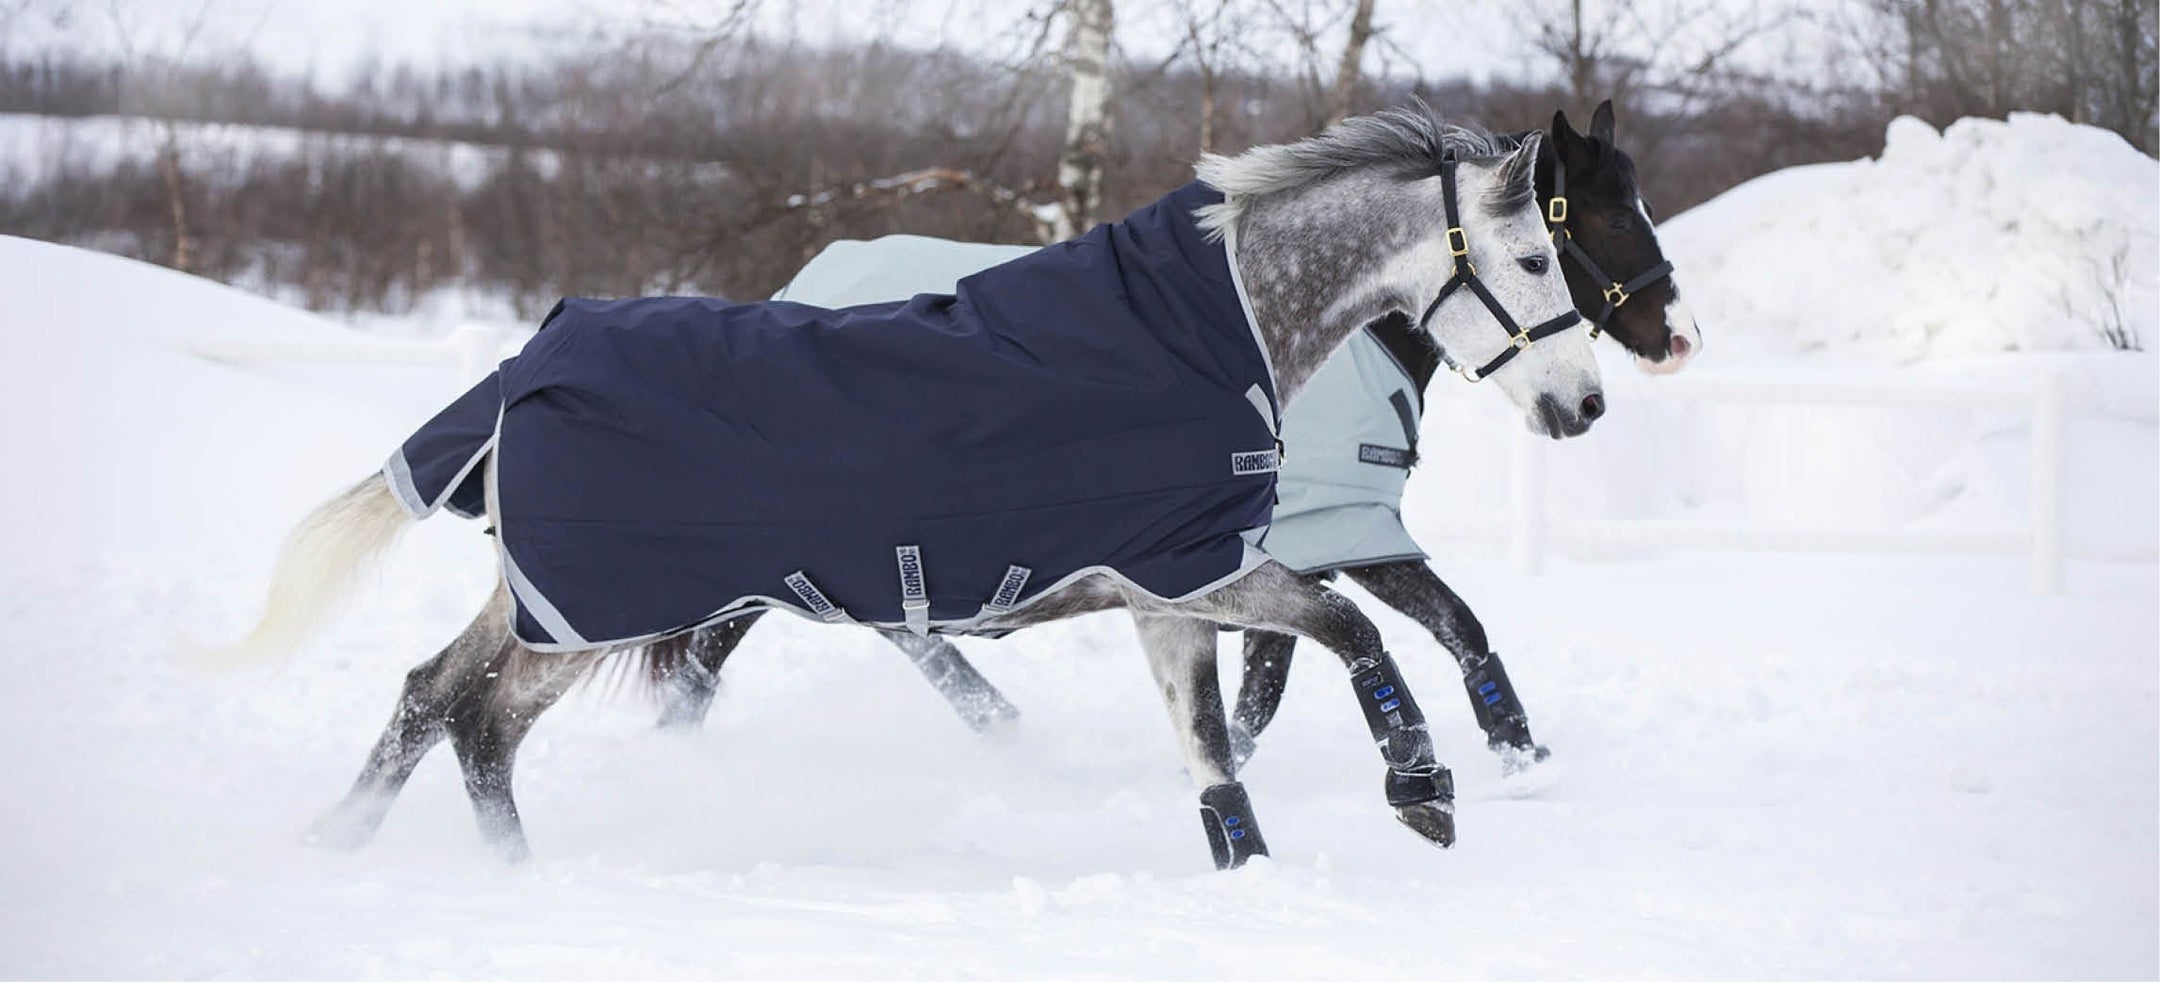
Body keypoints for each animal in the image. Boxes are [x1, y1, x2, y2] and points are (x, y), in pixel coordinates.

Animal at [239, 106, 1603, 870]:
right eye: (1538, 256)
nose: (1583, 407)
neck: (1206, 334)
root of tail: (529, 362)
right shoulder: (1192, 570)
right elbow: (1355, 628)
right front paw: (1424, 795)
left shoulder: (1171, 597)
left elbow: (1220, 756)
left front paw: (1254, 874)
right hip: (594, 609)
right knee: (482, 722)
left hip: (549, 601)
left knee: (433, 696)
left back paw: (352, 844)